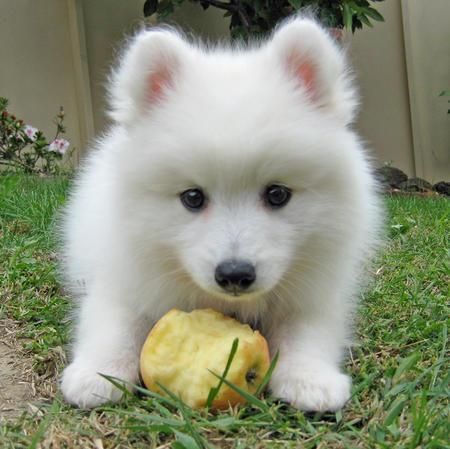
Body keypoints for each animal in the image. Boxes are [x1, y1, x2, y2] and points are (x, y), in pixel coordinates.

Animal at [60, 17, 384, 410]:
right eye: (193, 197)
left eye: (277, 194)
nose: (234, 274)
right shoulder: (123, 276)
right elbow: (113, 324)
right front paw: (95, 374)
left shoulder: (312, 291)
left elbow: (307, 332)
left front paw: (310, 380)